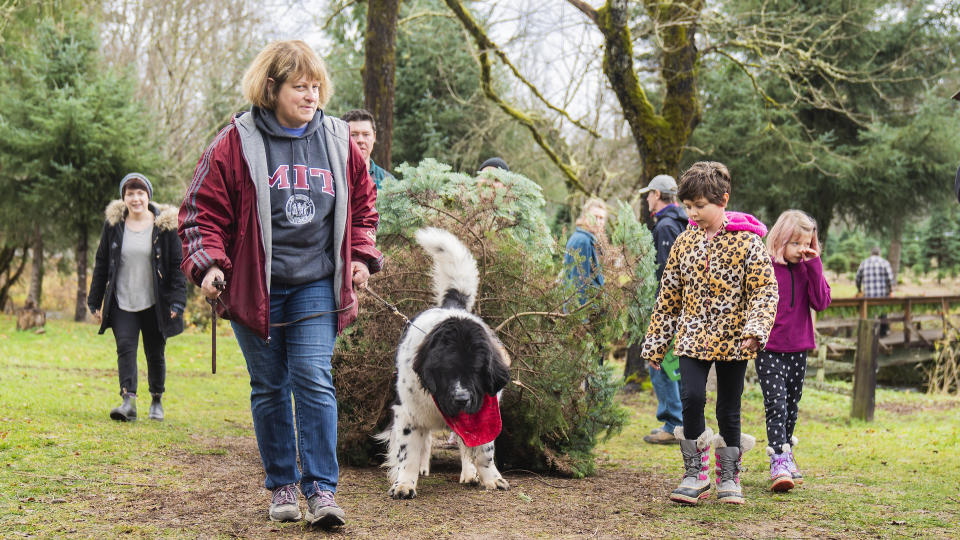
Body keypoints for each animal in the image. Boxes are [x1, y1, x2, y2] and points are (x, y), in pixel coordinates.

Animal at [376, 227, 512, 498]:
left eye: (477, 371)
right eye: (448, 370)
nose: (461, 398)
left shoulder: (483, 410)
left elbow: (483, 449)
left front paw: (491, 478)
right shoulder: (407, 412)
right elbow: (407, 452)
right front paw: (404, 484)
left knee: (463, 445)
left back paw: (469, 474)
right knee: (424, 442)